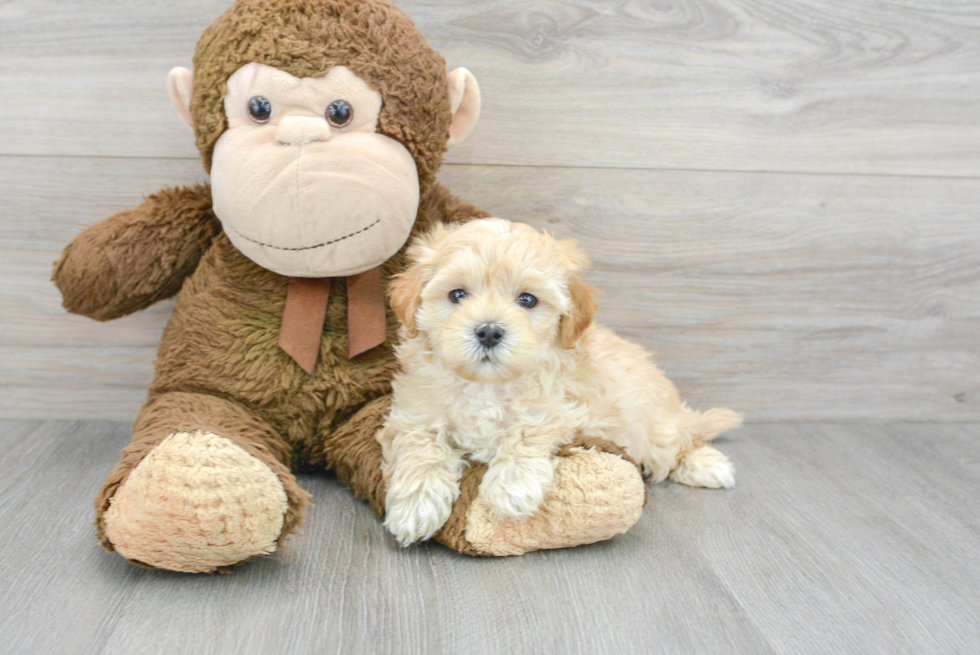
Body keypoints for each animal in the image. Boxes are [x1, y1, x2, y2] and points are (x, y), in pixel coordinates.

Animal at [378, 218, 740, 544]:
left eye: (527, 299)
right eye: (456, 294)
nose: (489, 331)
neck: (487, 386)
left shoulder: (566, 407)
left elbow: (529, 428)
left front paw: (512, 486)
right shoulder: (412, 414)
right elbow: (420, 447)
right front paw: (416, 506)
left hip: (654, 425)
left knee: (682, 438)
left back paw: (707, 464)